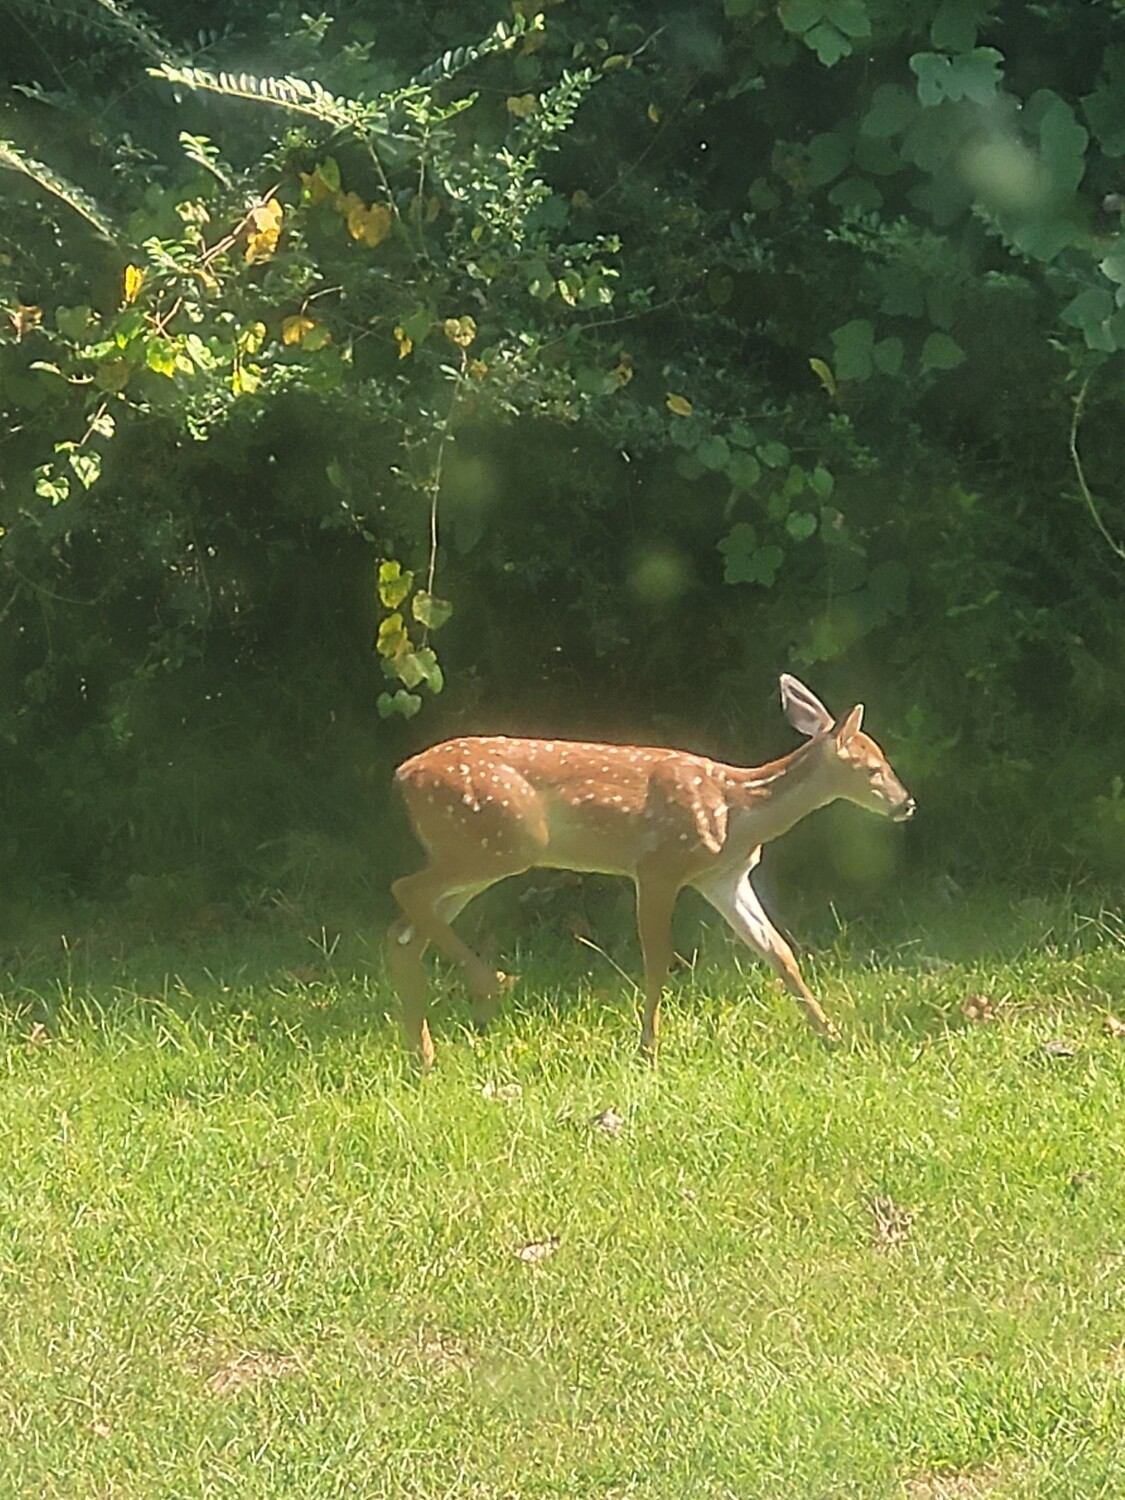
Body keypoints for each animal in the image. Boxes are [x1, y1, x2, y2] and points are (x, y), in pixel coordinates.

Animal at [387, 674, 914, 1068]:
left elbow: (779, 952)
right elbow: (658, 958)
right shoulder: (659, 865)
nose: (906, 804)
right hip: (499, 843)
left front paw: (831, 1035)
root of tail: (402, 776)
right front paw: (648, 1049)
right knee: (404, 889)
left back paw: (425, 1054)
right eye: (872, 767)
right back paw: (490, 982)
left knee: (405, 935)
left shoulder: (723, 877)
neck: (737, 810)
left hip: (478, 854)